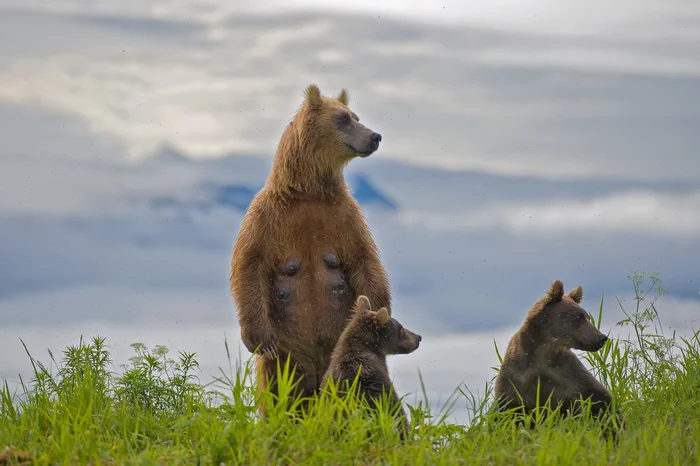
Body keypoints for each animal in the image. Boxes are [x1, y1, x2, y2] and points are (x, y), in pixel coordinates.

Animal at [492, 280, 612, 418]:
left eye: (588, 317)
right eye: (579, 317)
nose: (602, 337)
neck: (543, 352)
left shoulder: (568, 373)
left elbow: (598, 396)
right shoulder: (515, 377)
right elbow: (507, 408)